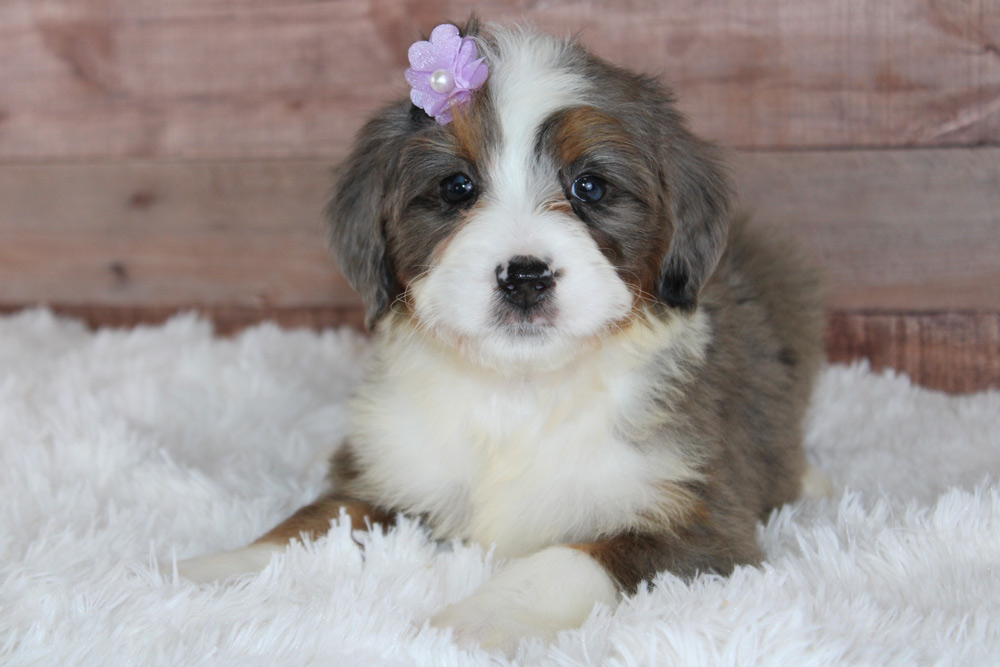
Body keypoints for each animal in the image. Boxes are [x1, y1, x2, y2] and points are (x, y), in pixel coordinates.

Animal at [168, 20, 826, 653]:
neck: (519, 393)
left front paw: (474, 620)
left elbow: (565, 561)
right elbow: (311, 525)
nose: (525, 277)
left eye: (590, 186)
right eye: (457, 186)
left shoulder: (703, 518)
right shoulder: (391, 471)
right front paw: (218, 570)